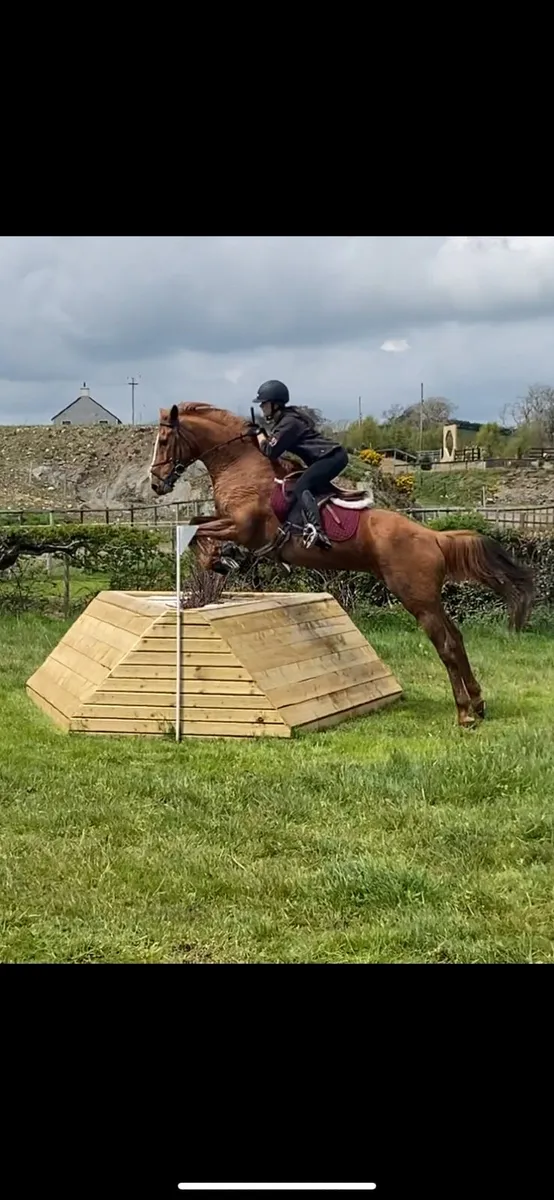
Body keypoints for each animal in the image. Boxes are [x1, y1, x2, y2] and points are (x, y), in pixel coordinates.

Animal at [150, 402, 535, 729]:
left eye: (165, 440)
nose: (156, 483)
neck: (241, 465)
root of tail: (432, 537)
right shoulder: (228, 522)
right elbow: (195, 525)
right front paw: (224, 560)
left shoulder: (244, 527)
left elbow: (197, 531)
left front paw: (223, 560)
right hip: (429, 599)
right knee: (456, 638)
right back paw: (478, 703)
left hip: (418, 599)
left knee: (447, 646)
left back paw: (464, 713)